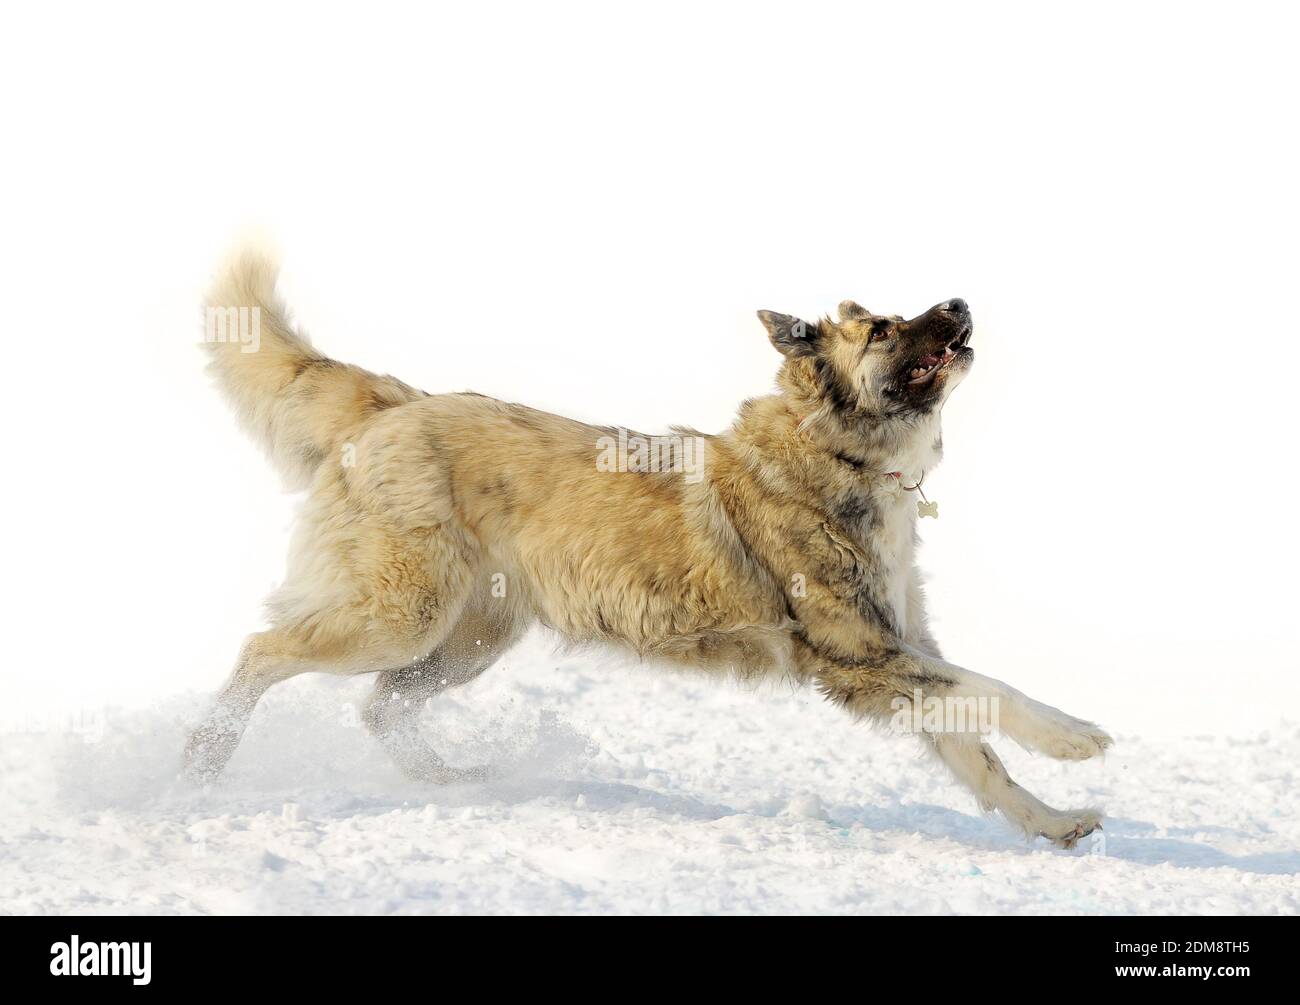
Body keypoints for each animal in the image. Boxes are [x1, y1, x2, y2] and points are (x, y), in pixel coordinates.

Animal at [188, 250, 1112, 847]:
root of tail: (398, 402)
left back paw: (454, 781)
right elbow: (993, 690)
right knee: (262, 650)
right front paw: (1076, 735)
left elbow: (981, 751)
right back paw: (204, 755)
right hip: (399, 614)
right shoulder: (858, 653)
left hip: (470, 638)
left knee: (381, 706)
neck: (837, 449)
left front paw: (1053, 820)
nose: (957, 301)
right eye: (884, 329)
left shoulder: (898, 650)